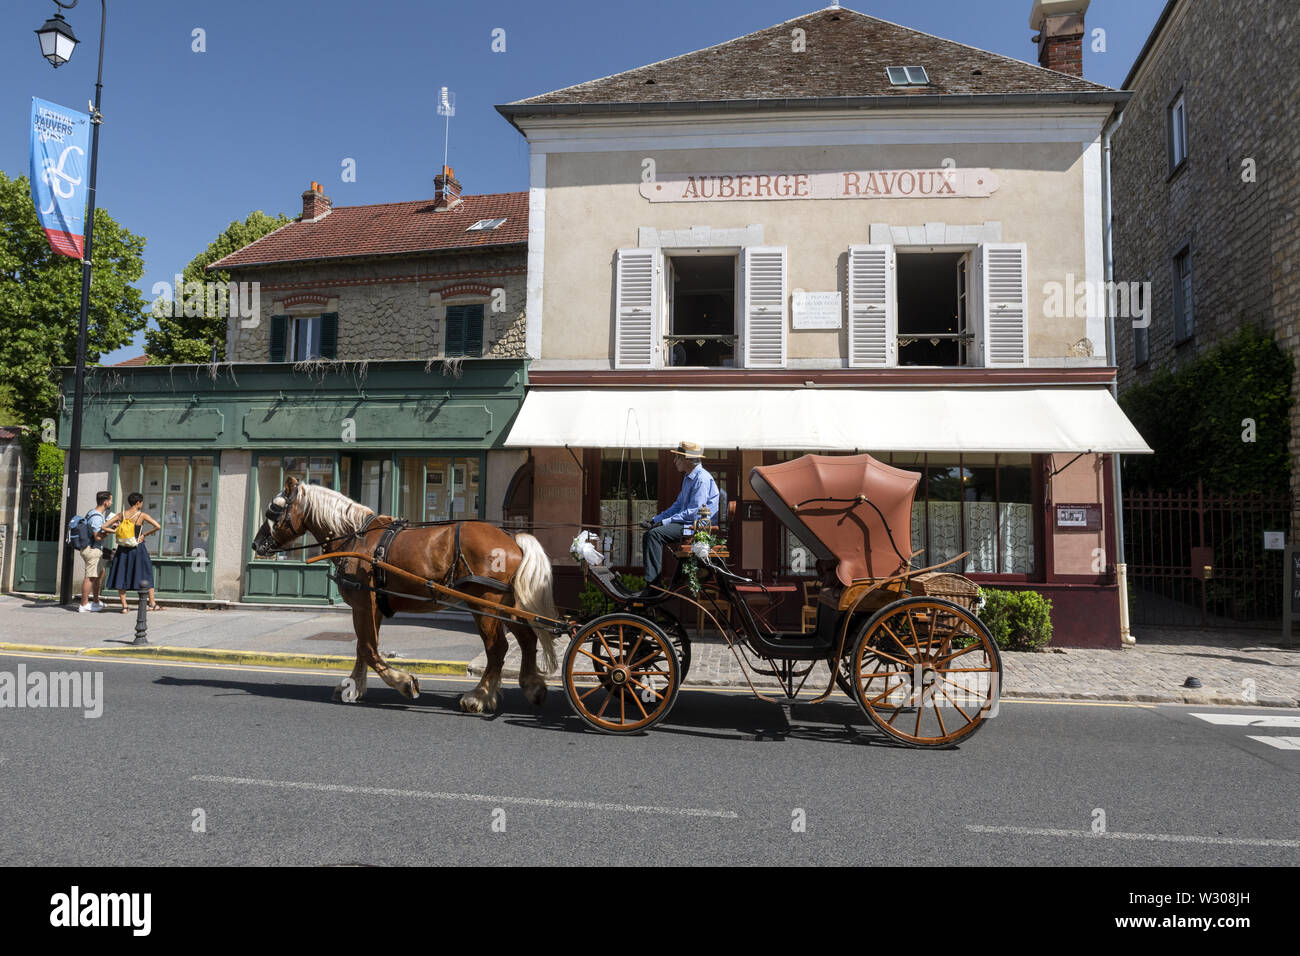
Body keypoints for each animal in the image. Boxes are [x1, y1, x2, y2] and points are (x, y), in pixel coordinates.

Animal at [250, 476, 556, 712]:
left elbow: (368, 649)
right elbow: (362, 647)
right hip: (506, 606)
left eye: (274, 510)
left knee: (498, 648)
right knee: (527, 640)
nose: (255, 544)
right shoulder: (371, 605)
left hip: (486, 605)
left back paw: (479, 696)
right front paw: (353, 686)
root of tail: (512, 539)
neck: (356, 538)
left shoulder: (364, 603)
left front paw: (404, 683)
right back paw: (532, 686)